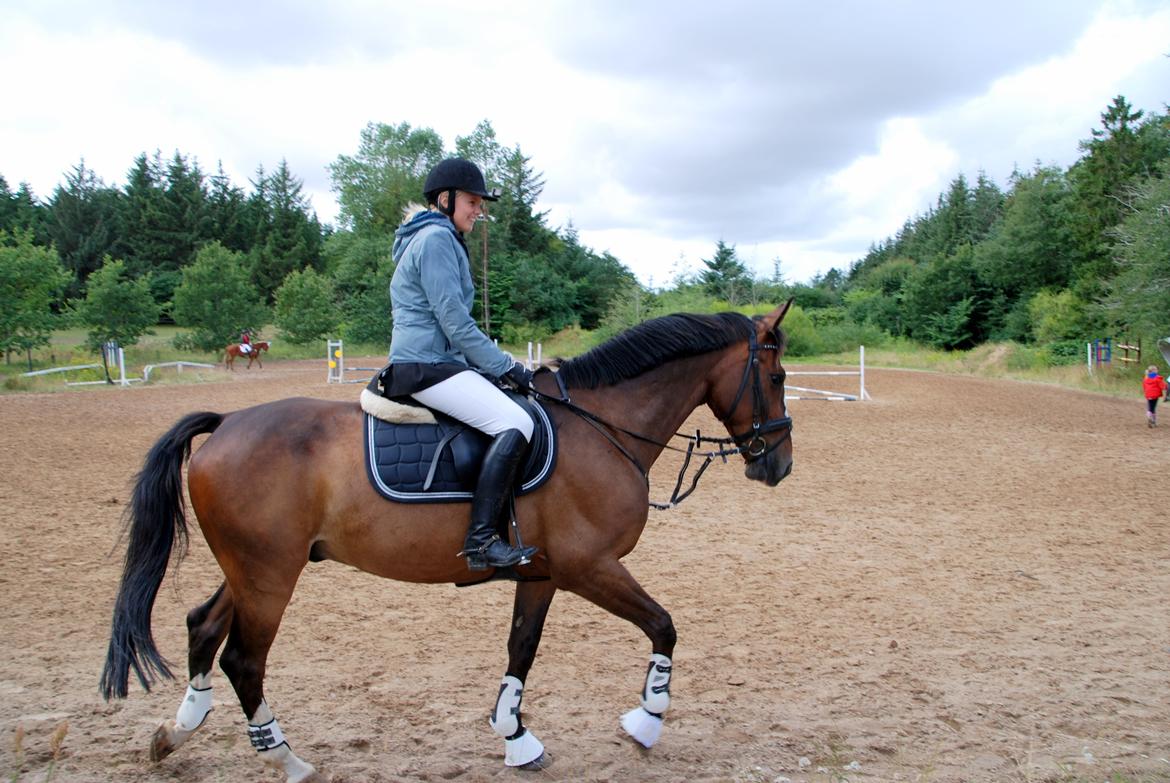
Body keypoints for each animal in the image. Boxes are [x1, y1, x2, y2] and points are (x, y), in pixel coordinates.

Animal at [102, 301, 795, 777]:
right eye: (778, 377)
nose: (779, 465)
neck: (602, 426)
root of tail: (225, 423)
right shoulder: (588, 567)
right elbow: (664, 627)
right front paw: (646, 722)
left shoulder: (543, 573)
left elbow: (521, 650)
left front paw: (517, 738)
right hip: (271, 576)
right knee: (243, 660)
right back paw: (286, 760)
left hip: (251, 571)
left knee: (201, 626)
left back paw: (176, 732)